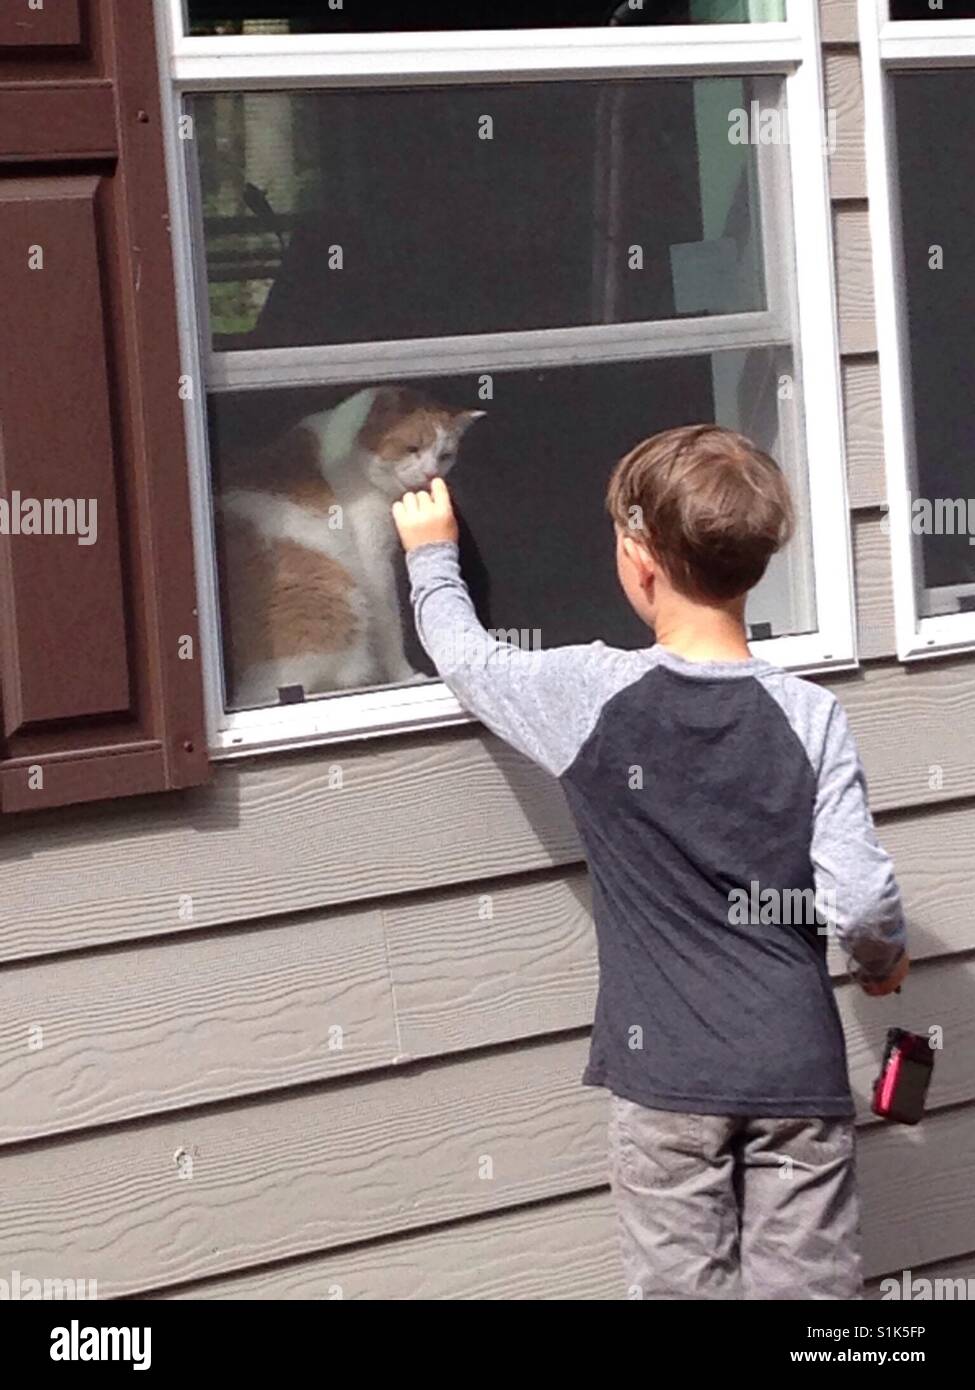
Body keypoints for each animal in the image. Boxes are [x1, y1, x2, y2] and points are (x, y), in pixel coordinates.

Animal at [216, 386, 484, 706]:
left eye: (445, 456)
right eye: (412, 448)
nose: (432, 474)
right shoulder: (374, 562)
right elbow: (390, 626)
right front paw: (405, 675)